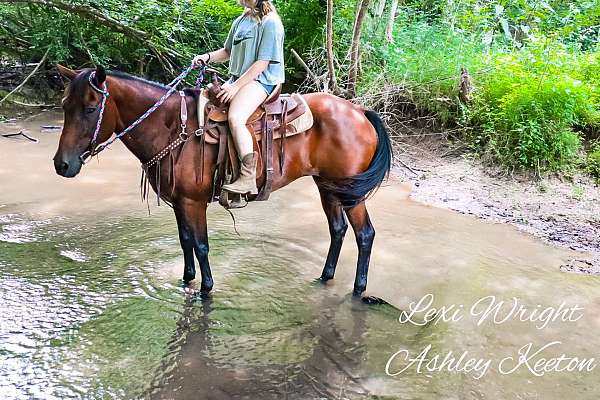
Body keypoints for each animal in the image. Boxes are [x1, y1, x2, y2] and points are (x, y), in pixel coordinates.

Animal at [52, 64, 394, 298]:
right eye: (65, 106)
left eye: (91, 108)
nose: (62, 164)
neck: (171, 128)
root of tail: (359, 110)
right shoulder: (179, 203)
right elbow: (185, 240)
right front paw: (186, 280)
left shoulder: (194, 202)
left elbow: (202, 245)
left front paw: (206, 290)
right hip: (328, 186)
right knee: (337, 229)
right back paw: (325, 277)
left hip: (350, 191)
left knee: (365, 234)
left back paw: (358, 289)